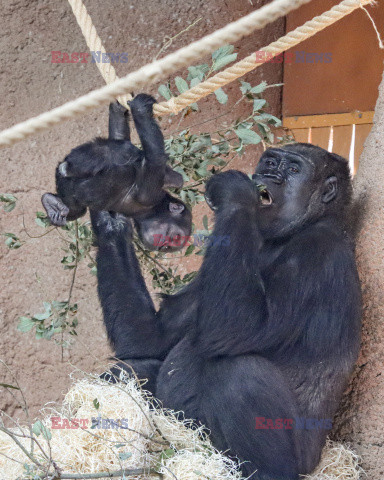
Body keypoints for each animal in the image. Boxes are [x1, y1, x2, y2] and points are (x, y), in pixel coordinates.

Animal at [41, 94, 191, 251]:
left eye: (171, 244)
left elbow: (120, 137)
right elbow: (155, 159)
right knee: (110, 151)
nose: (164, 245)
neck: (152, 211)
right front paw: (138, 109)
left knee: (76, 209)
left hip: (66, 193)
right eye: (175, 236)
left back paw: (52, 204)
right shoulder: (150, 195)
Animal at [90, 142, 360, 480]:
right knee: (129, 371)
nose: (268, 175)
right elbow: (149, 338)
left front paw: (235, 191)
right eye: (270, 162)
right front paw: (108, 210)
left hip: (304, 462)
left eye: (294, 169)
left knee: (238, 374)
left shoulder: (317, 253)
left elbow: (239, 328)